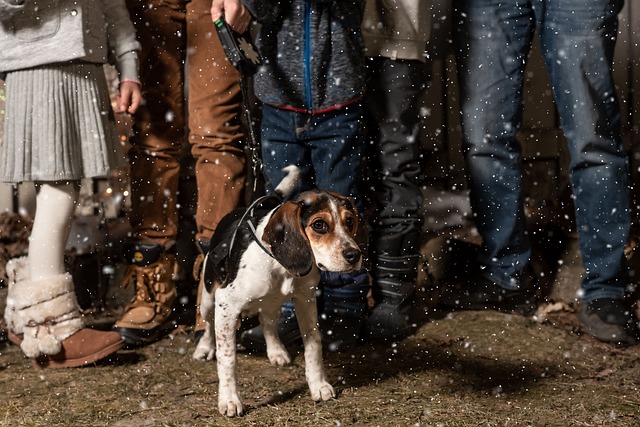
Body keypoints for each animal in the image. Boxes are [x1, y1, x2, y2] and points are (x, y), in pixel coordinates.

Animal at [192, 167, 362, 418]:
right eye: (319, 225)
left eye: (349, 221)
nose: (354, 255)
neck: (278, 264)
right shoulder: (227, 304)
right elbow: (227, 358)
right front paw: (230, 400)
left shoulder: (305, 299)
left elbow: (313, 345)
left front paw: (319, 385)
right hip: (209, 299)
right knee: (208, 325)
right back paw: (204, 348)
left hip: (272, 304)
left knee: (267, 322)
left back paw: (276, 351)